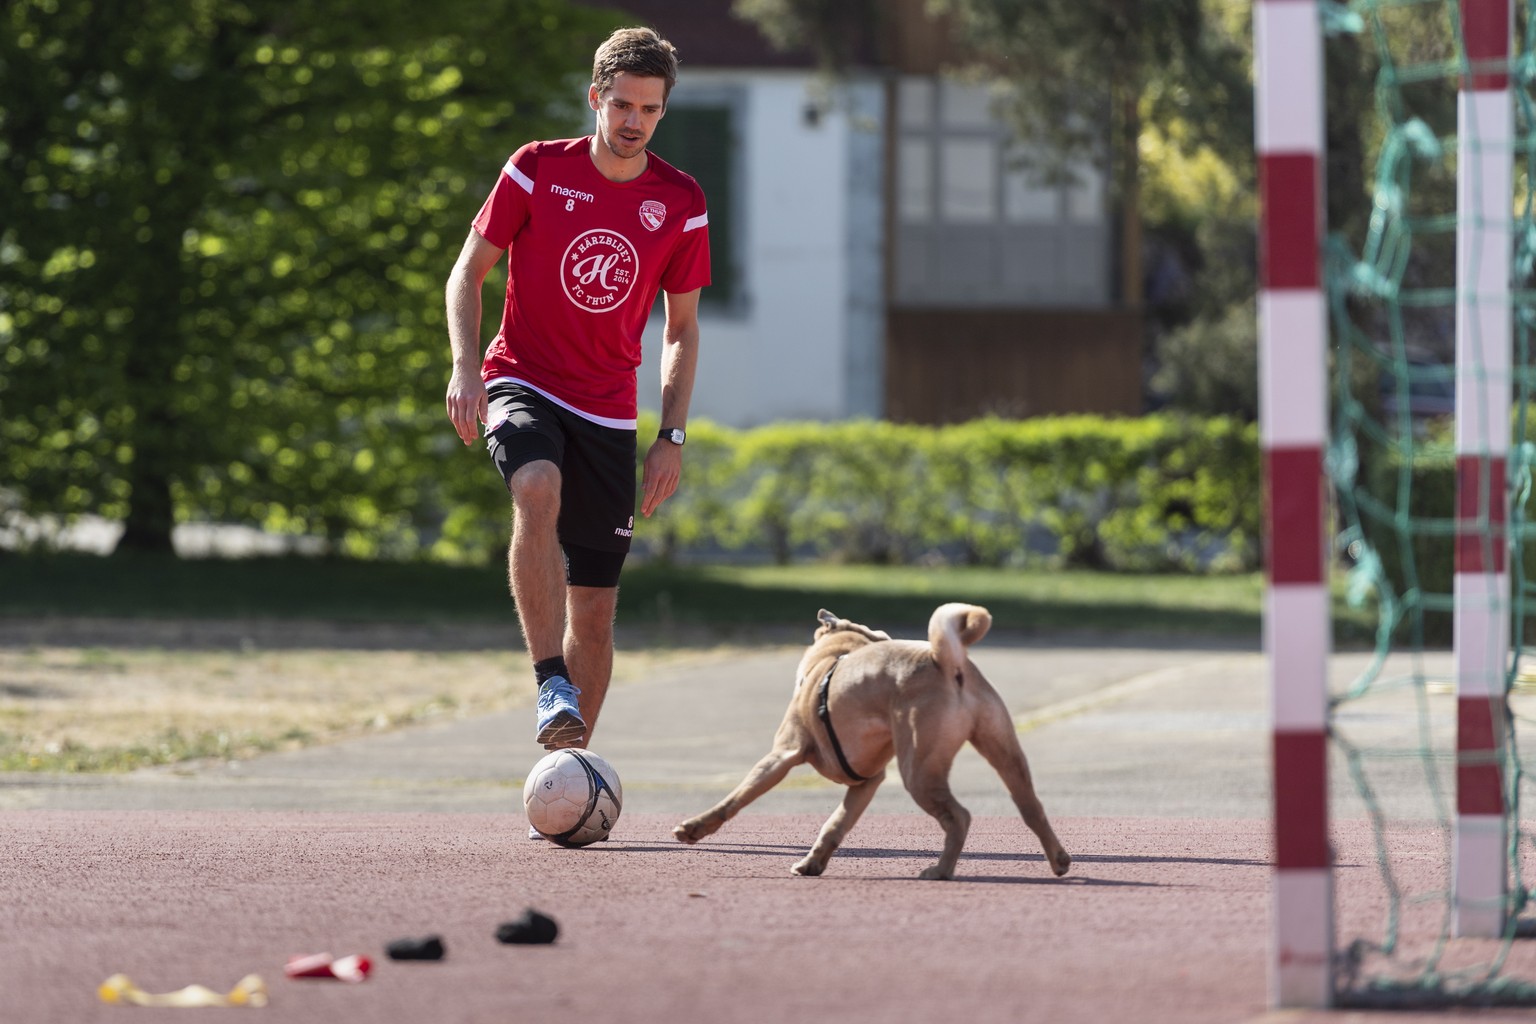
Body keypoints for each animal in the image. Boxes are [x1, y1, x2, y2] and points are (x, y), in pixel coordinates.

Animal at [672, 607, 1069, 884]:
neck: (834, 658)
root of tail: (947, 662)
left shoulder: (780, 756)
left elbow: (735, 799)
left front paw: (693, 828)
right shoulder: (867, 782)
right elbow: (835, 824)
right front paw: (813, 863)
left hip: (919, 770)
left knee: (959, 817)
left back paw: (939, 871)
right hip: (1004, 752)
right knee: (1031, 808)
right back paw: (1059, 861)